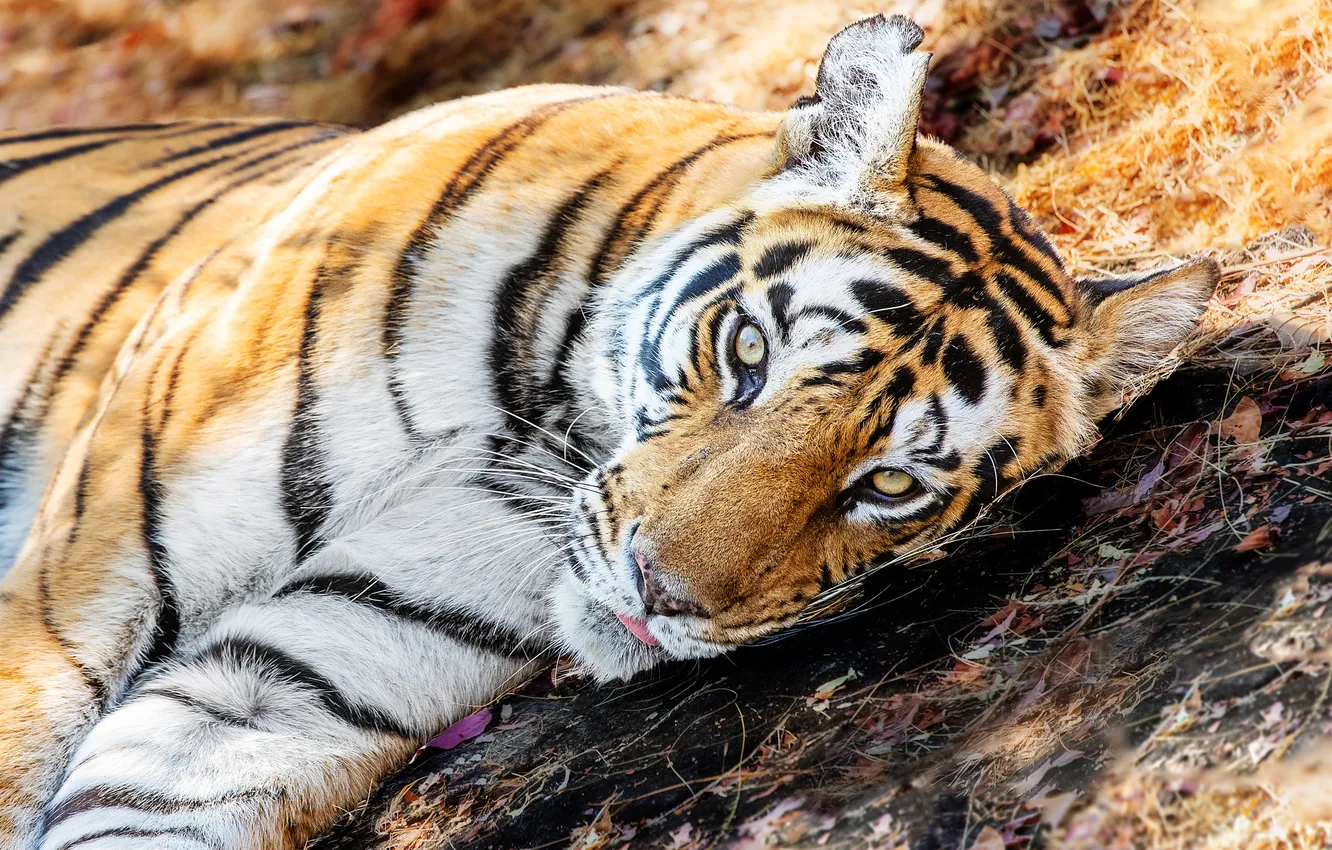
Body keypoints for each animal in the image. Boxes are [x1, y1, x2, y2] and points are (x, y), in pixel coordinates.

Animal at [0, 15, 1218, 850]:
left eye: (889, 486)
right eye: (748, 352)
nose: (657, 590)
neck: (535, 414)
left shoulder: (293, 676)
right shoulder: (71, 606)